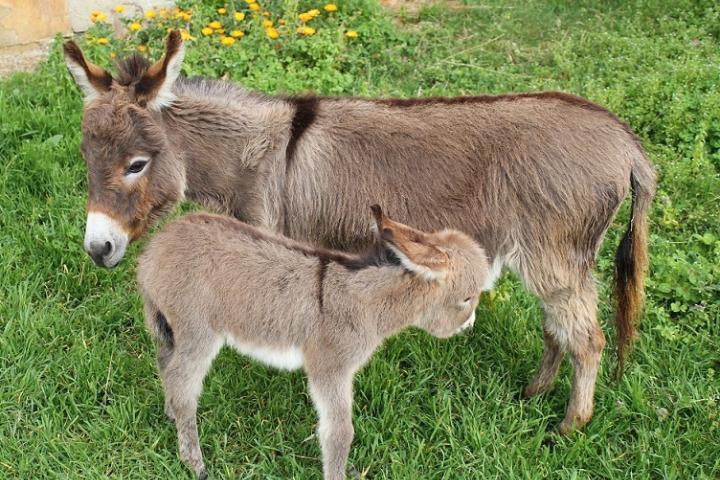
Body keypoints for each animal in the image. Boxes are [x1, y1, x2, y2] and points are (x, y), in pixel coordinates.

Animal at [138, 207, 486, 480]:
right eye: (467, 298)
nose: (469, 326)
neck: (368, 303)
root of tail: (155, 248)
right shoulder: (330, 368)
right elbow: (340, 432)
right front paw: (337, 475)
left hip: (173, 328)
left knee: (166, 364)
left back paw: (171, 414)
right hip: (198, 330)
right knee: (183, 383)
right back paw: (194, 461)